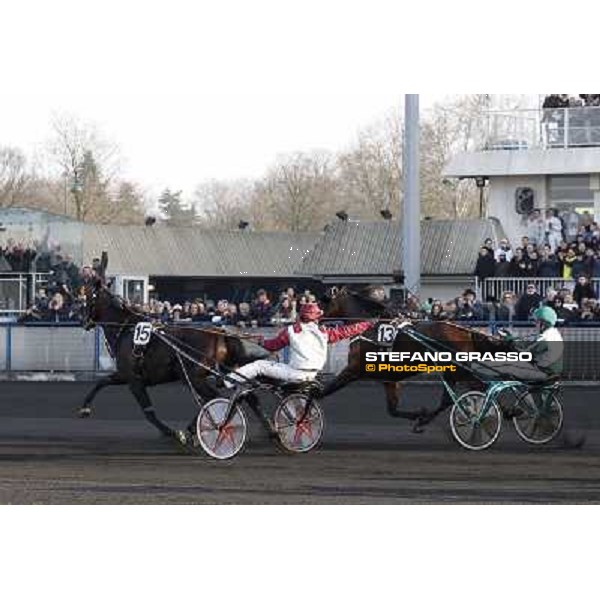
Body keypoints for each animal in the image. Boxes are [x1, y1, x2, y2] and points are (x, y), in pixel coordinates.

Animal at [78, 280, 270, 446]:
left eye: (88, 298)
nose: (84, 321)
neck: (126, 330)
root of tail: (219, 333)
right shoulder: (124, 376)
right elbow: (102, 382)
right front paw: (85, 408)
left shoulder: (133, 379)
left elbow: (149, 412)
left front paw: (172, 433)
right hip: (224, 372)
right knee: (247, 395)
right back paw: (270, 430)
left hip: (193, 377)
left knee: (215, 398)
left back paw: (197, 429)